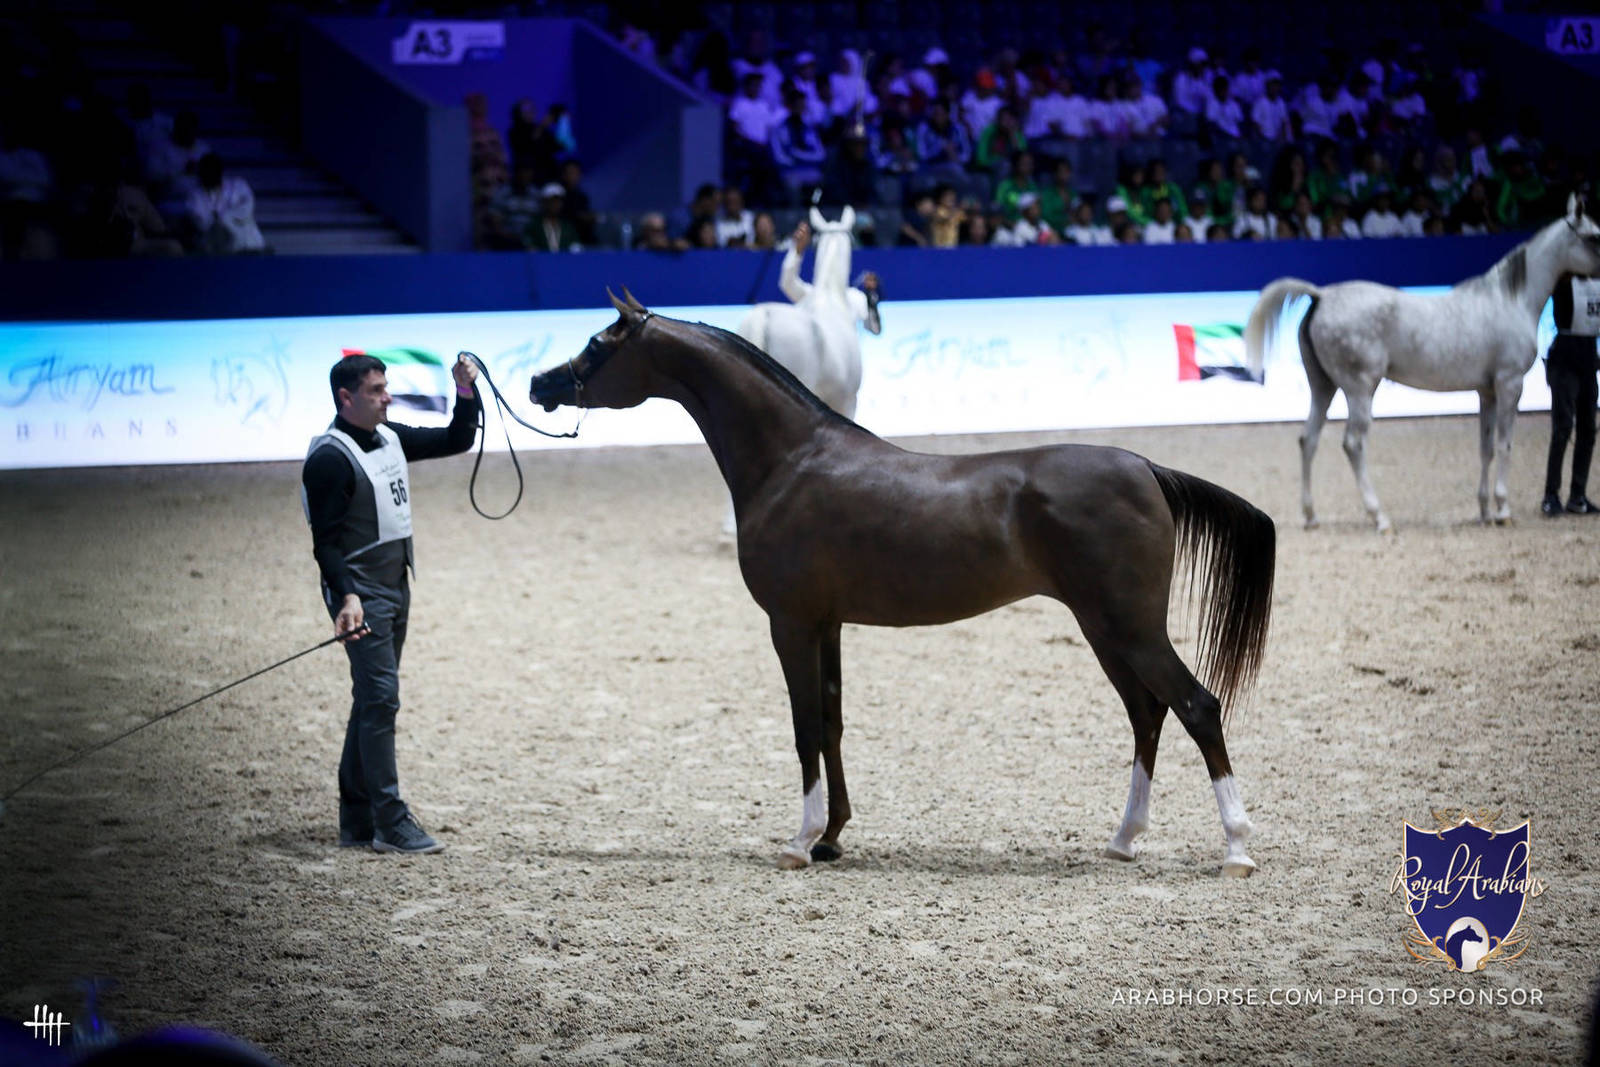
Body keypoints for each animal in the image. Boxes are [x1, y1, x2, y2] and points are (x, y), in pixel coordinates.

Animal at [530, 290, 1277, 878]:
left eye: (597, 344)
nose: (541, 384)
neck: (792, 461)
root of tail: (1145, 468)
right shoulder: (827, 622)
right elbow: (831, 722)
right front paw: (832, 837)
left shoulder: (790, 622)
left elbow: (804, 727)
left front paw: (800, 842)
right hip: (1104, 629)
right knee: (1147, 714)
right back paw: (1124, 839)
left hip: (1131, 627)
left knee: (1197, 706)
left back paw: (1236, 849)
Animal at [1244, 194, 1600, 532]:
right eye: (1594, 236)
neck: (1510, 302)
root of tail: (1322, 296)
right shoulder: (1510, 384)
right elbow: (1505, 444)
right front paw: (1503, 511)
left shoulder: (1487, 392)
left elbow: (1486, 447)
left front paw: (1485, 512)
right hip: (1360, 389)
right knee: (1353, 444)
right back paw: (1380, 518)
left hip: (1323, 386)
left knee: (1309, 440)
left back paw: (1311, 517)